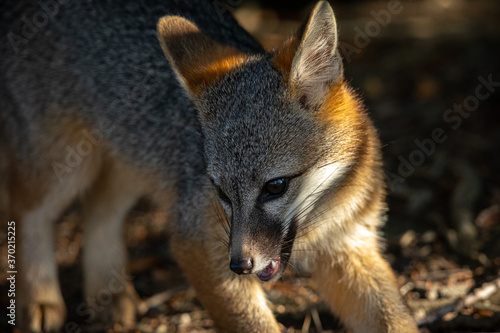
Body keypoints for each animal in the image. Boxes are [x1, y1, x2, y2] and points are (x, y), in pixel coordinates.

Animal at [0, 0, 418, 330]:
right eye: (221, 192)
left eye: (276, 186)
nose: (240, 266)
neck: (322, 218)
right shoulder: (196, 240)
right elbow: (251, 323)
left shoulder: (349, 243)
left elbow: (394, 319)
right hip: (65, 167)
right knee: (28, 211)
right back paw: (40, 299)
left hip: (132, 161)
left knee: (98, 210)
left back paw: (107, 292)